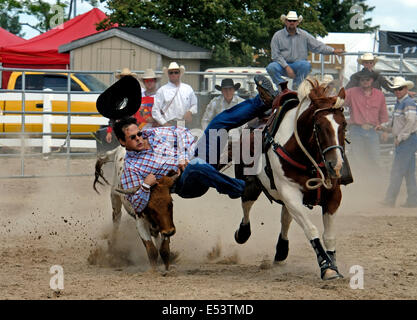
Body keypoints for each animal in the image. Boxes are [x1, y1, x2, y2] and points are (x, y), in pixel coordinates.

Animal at [234, 80, 348, 280]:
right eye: (319, 126)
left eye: (345, 124)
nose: (336, 165)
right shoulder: (290, 193)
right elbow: (311, 229)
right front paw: (326, 267)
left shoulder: (333, 196)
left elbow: (329, 236)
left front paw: (333, 264)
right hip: (251, 184)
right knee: (247, 205)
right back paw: (242, 233)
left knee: (285, 218)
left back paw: (281, 252)